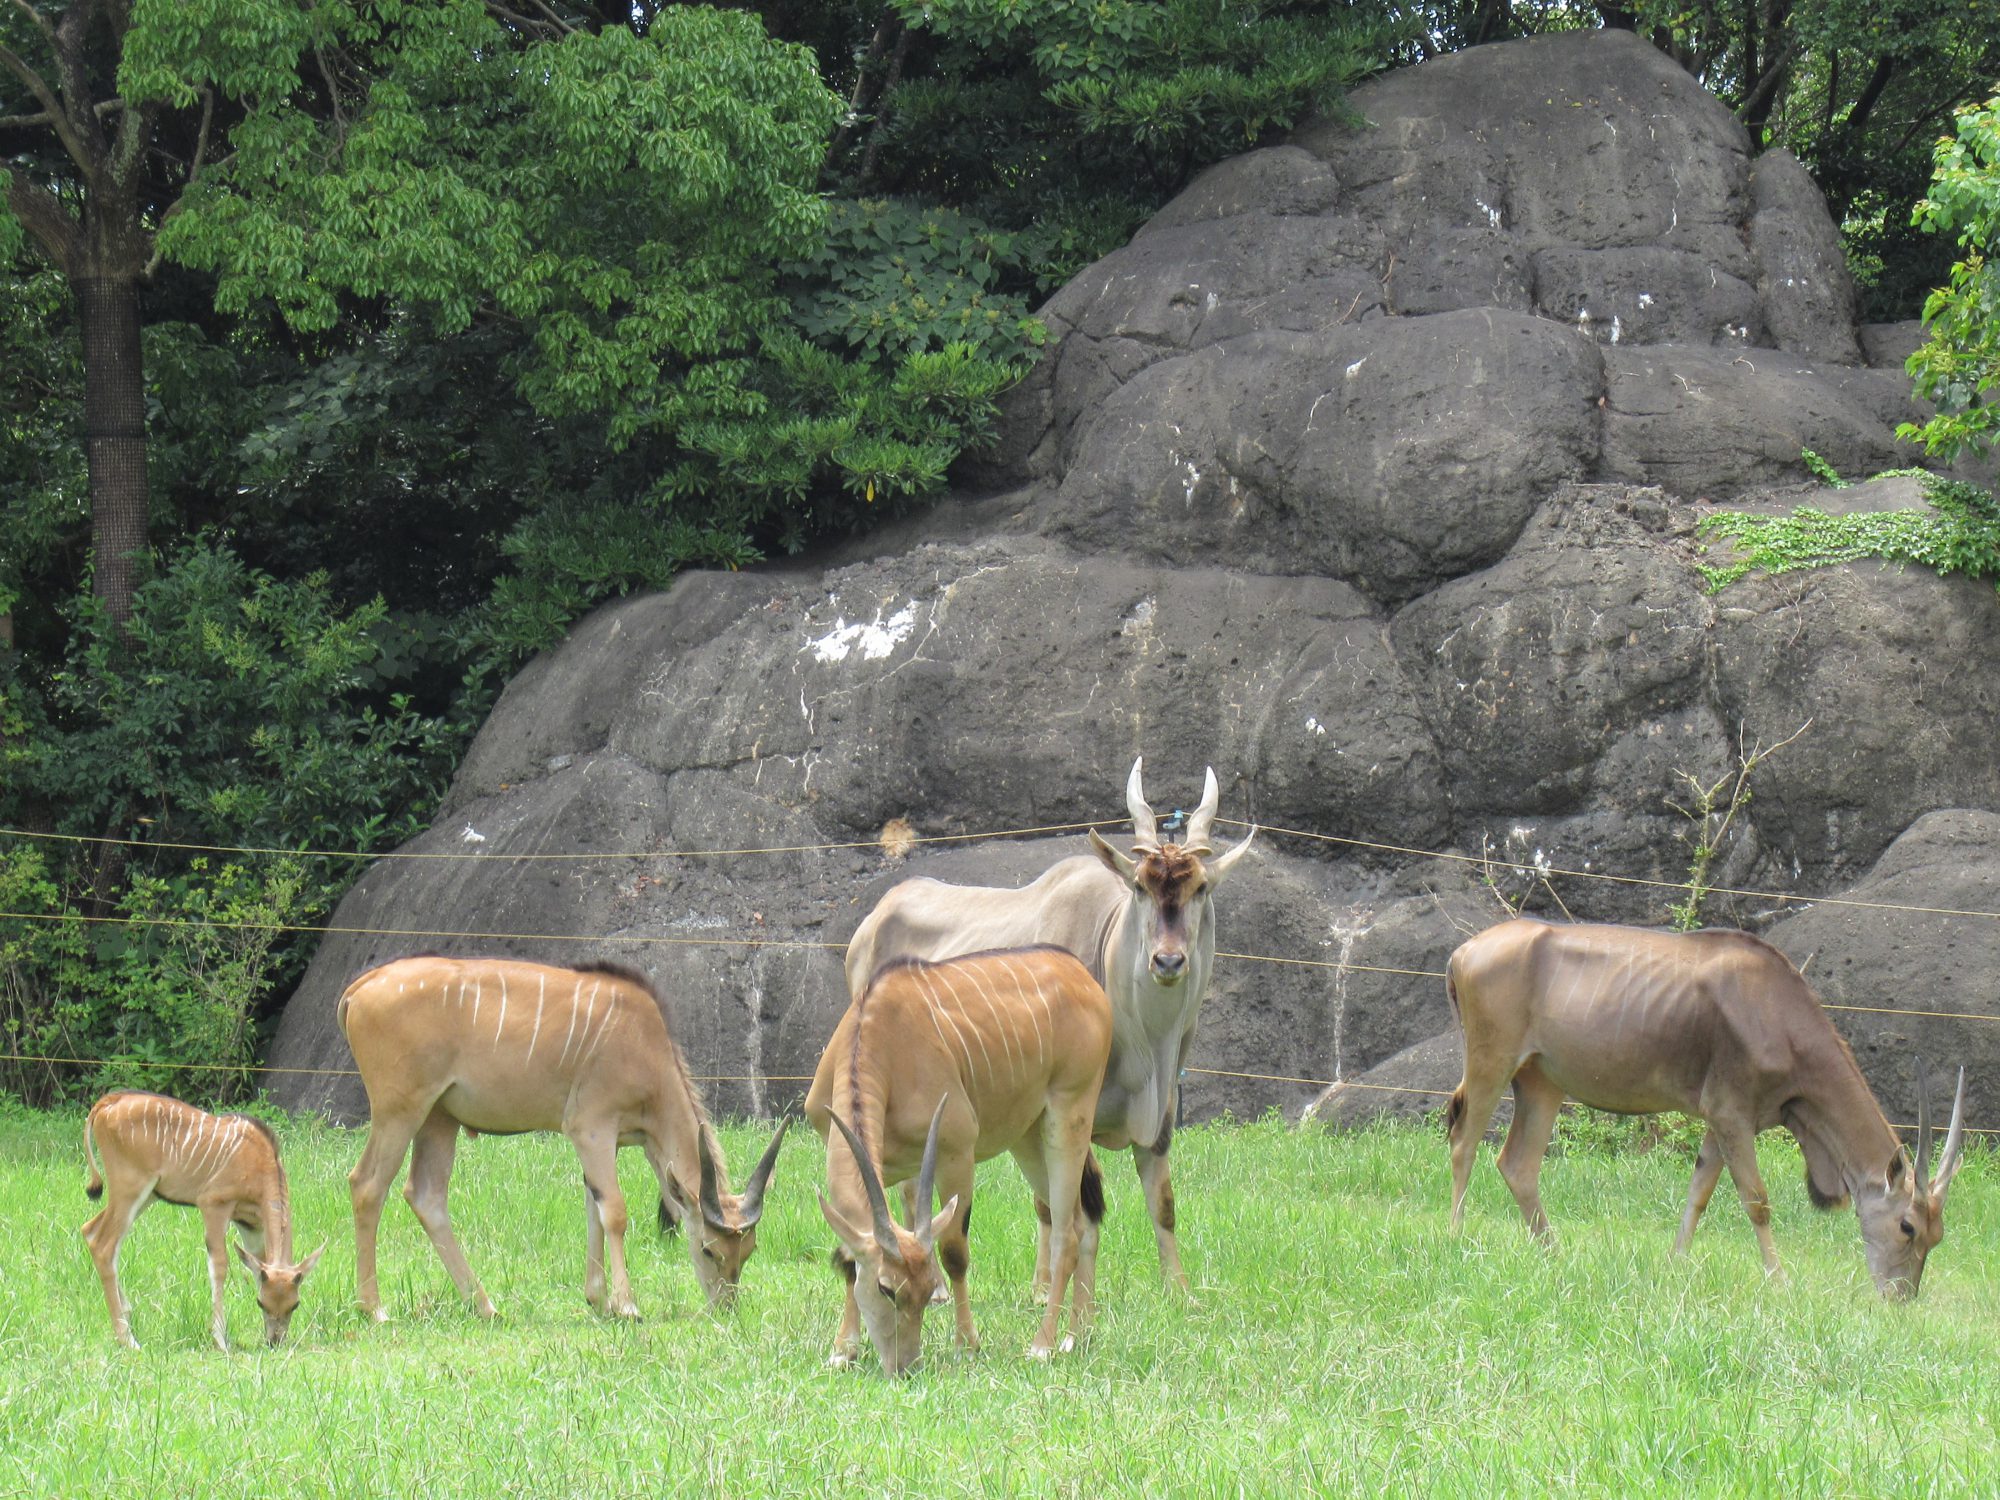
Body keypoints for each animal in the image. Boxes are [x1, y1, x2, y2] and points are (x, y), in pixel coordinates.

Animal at [81, 1096, 324, 1352]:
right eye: (260, 1302)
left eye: (295, 1304)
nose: (274, 1341)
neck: (261, 1162)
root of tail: (107, 1103)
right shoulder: (214, 1204)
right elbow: (219, 1265)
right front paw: (220, 1339)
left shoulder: (251, 1225)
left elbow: (257, 1264)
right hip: (130, 1188)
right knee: (104, 1245)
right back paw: (127, 1339)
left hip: (147, 1195)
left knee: (90, 1230)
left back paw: (127, 1316)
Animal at [340, 956, 784, 1320]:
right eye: (709, 1248)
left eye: (749, 1250)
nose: (725, 1307)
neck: (644, 1045)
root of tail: (360, 988)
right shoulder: (592, 1128)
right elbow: (615, 1212)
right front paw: (627, 1306)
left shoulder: (603, 1143)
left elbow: (594, 1207)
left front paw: (599, 1301)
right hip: (400, 1111)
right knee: (367, 1185)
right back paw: (374, 1309)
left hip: (439, 1118)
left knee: (426, 1196)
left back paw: (485, 1306)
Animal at [800, 944, 1112, 1384]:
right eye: (886, 1288)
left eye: (928, 1289)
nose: (905, 1367)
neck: (880, 1035)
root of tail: (1079, 974)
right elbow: (849, 1253)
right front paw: (843, 1349)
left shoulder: (955, 1152)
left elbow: (953, 1252)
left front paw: (967, 1345)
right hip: (1028, 1137)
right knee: (1083, 1222)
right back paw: (1077, 1337)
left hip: (1069, 1117)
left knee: (1066, 1234)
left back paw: (1043, 1345)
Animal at [1448, 924, 1976, 1296]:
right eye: (1907, 1226)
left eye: (1938, 1235)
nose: (1900, 1297)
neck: (1777, 1011)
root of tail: (1463, 953)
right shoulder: (1731, 1115)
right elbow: (1757, 1201)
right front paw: (1779, 1282)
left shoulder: (1723, 1124)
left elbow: (1699, 1192)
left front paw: (1675, 1264)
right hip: (1492, 1063)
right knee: (1464, 1144)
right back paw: (1458, 1238)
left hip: (1542, 1083)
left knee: (1518, 1164)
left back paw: (1554, 1254)